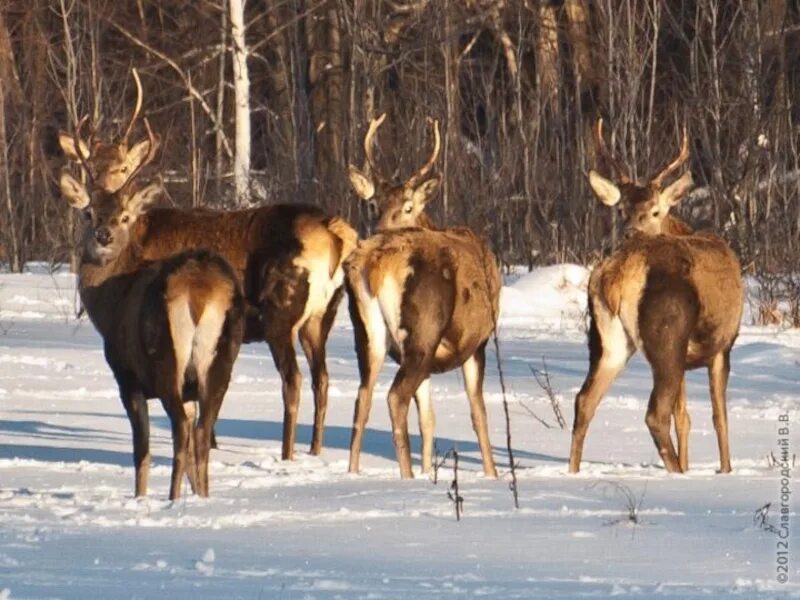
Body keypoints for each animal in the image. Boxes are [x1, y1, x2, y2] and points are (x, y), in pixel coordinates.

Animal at [57, 170, 244, 502]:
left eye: (125, 217)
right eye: (88, 213)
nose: (103, 235)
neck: (109, 303)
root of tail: (200, 290)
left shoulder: (127, 376)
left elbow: (141, 451)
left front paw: (139, 498)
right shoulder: (189, 391)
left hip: (166, 359)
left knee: (180, 430)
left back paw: (172, 498)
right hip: (221, 362)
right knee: (201, 432)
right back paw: (203, 498)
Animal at [61, 74, 360, 464]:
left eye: (123, 167)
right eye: (89, 168)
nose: (104, 209)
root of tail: (336, 233)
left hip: (281, 308)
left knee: (292, 381)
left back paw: (287, 454)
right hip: (322, 314)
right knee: (321, 379)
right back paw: (314, 450)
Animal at [346, 115, 496, 480]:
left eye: (407, 206)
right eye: (372, 205)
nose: (379, 229)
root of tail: (375, 261)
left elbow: (428, 419)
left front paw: (430, 470)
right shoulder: (478, 342)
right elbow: (479, 414)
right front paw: (492, 475)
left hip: (369, 334)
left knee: (362, 398)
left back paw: (353, 472)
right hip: (423, 330)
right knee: (394, 397)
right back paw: (407, 477)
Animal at [568, 118, 744, 474]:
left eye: (654, 211)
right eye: (621, 209)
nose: (629, 233)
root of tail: (622, 270)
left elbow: (685, 417)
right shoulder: (722, 345)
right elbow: (719, 417)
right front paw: (725, 471)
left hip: (609, 340)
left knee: (584, 400)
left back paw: (573, 471)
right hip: (667, 333)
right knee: (655, 415)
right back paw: (675, 472)